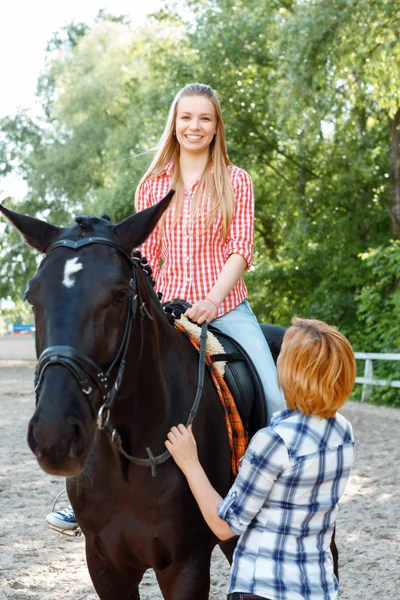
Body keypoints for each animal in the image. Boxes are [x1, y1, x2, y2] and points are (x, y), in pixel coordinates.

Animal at [0, 195, 338, 596]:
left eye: (118, 295)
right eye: (32, 296)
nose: (55, 436)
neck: (130, 454)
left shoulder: (185, 565)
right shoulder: (104, 565)